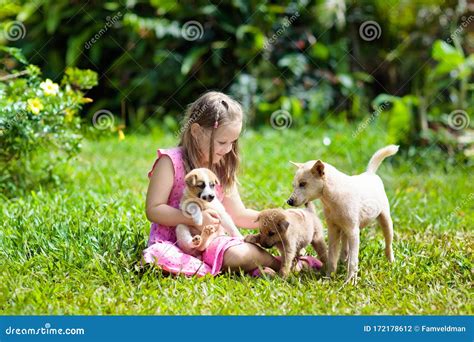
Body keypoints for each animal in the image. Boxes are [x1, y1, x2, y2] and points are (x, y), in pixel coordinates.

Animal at [286, 144, 400, 284]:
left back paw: (391, 262)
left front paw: (350, 282)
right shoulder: (333, 230)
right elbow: (332, 256)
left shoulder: (354, 232)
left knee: (388, 244)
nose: (289, 201)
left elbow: (353, 260)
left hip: (385, 220)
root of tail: (370, 173)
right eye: (294, 185)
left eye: (303, 184)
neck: (331, 199)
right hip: (345, 229)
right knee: (344, 247)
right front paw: (328, 278)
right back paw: (342, 261)